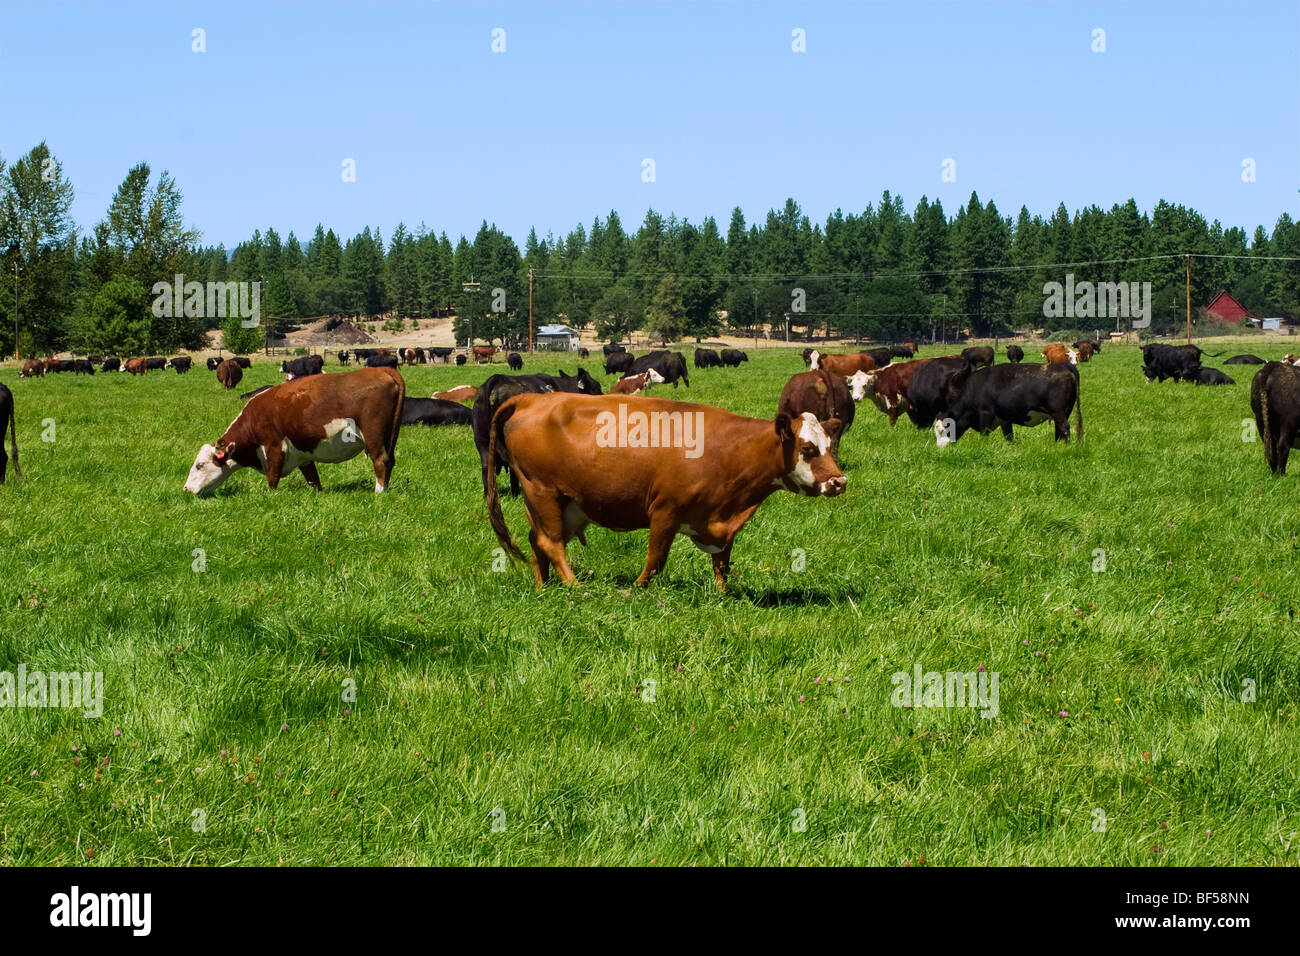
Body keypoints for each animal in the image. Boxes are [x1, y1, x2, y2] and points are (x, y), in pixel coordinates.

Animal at [185, 366, 403, 496]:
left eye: (199, 465)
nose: (186, 488)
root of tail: (382, 370)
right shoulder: (302, 454)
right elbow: (313, 478)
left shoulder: (274, 447)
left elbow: (272, 478)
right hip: (390, 437)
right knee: (390, 461)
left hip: (374, 436)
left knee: (380, 460)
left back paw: (378, 492)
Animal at [486, 395, 842, 590]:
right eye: (808, 448)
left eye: (830, 446)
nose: (840, 481)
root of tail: (531, 398)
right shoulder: (665, 512)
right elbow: (656, 559)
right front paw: (636, 590)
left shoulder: (721, 523)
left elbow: (722, 564)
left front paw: (723, 595)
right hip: (543, 491)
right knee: (551, 543)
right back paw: (574, 585)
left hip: (559, 504)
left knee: (537, 541)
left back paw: (544, 586)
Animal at [941, 361, 1081, 447]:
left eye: (945, 429)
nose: (941, 448)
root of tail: (1064, 366)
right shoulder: (1004, 419)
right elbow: (1009, 436)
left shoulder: (985, 413)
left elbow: (983, 433)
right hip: (1064, 411)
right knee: (1059, 429)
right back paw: (1057, 445)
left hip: (1058, 412)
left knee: (1065, 427)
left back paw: (1066, 446)